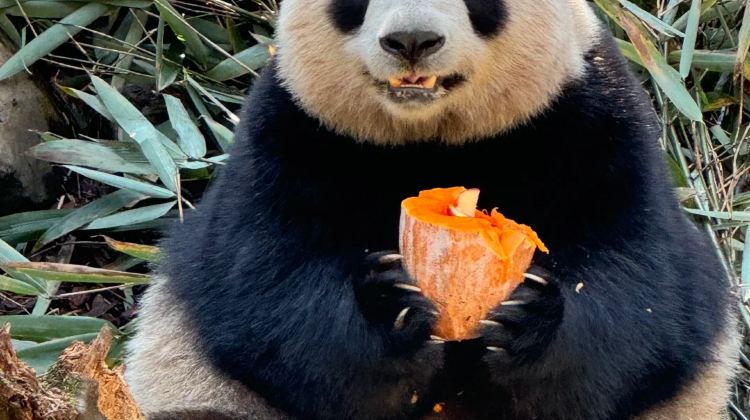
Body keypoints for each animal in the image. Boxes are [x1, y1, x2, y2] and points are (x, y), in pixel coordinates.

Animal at [125, 0, 739, 419]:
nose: (412, 39)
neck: (431, 137)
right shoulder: (289, 131)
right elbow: (262, 290)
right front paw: (389, 307)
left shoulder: (594, 124)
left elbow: (650, 294)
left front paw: (528, 317)